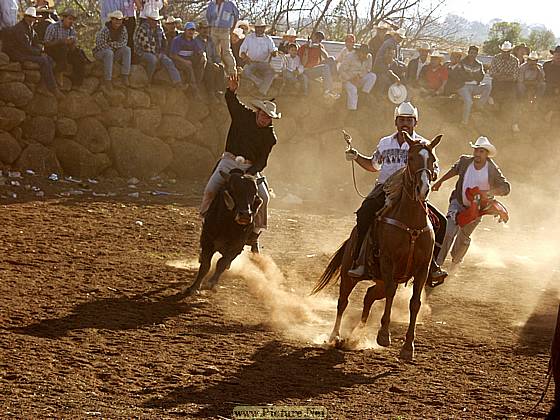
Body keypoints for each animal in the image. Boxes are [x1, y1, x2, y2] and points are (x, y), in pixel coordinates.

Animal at [310, 135, 442, 360]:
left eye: (432, 159)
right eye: (411, 158)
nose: (423, 189)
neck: (411, 223)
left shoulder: (422, 268)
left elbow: (415, 302)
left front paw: (408, 347)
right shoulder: (389, 262)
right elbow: (391, 294)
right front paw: (383, 336)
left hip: (380, 278)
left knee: (369, 295)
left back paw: (355, 334)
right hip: (350, 274)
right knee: (343, 302)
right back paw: (335, 336)